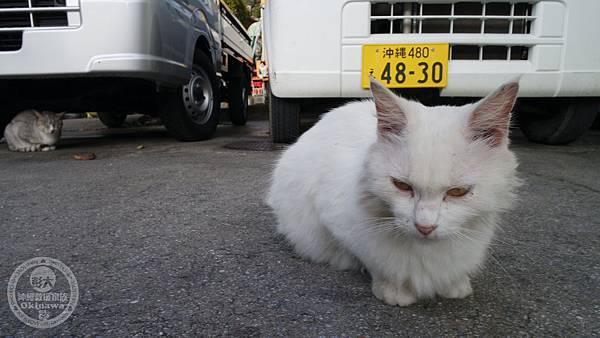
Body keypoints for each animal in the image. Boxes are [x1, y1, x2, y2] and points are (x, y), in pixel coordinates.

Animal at [268, 78, 520, 304]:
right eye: (402, 186)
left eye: (458, 191)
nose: (425, 227)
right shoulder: (332, 217)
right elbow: (373, 260)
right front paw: (392, 289)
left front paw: (455, 285)